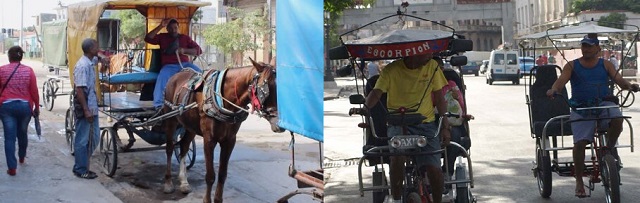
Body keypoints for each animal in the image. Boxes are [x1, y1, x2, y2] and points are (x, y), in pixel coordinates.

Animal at [161, 57, 282, 203]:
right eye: (264, 89)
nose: (280, 124)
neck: (223, 100)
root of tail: (176, 75)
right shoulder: (209, 140)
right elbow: (210, 176)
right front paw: (207, 200)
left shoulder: (229, 141)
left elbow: (222, 174)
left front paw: (218, 199)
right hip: (170, 120)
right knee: (169, 148)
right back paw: (168, 183)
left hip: (190, 127)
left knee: (183, 147)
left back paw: (184, 182)